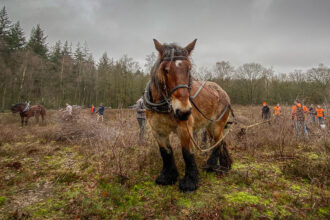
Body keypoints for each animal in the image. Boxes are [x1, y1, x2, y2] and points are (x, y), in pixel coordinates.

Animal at [143, 39, 233, 191]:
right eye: (165, 70)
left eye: (189, 69)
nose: (183, 111)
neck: (165, 105)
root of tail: (222, 92)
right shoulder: (158, 130)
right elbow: (165, 152)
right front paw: (167, 176)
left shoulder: (185, 129)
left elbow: (186, 153)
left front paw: (190, 182)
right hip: (210, 126)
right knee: (221, 141)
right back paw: (225, 165)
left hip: (216, 125)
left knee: (217, 143)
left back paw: (211, 166)